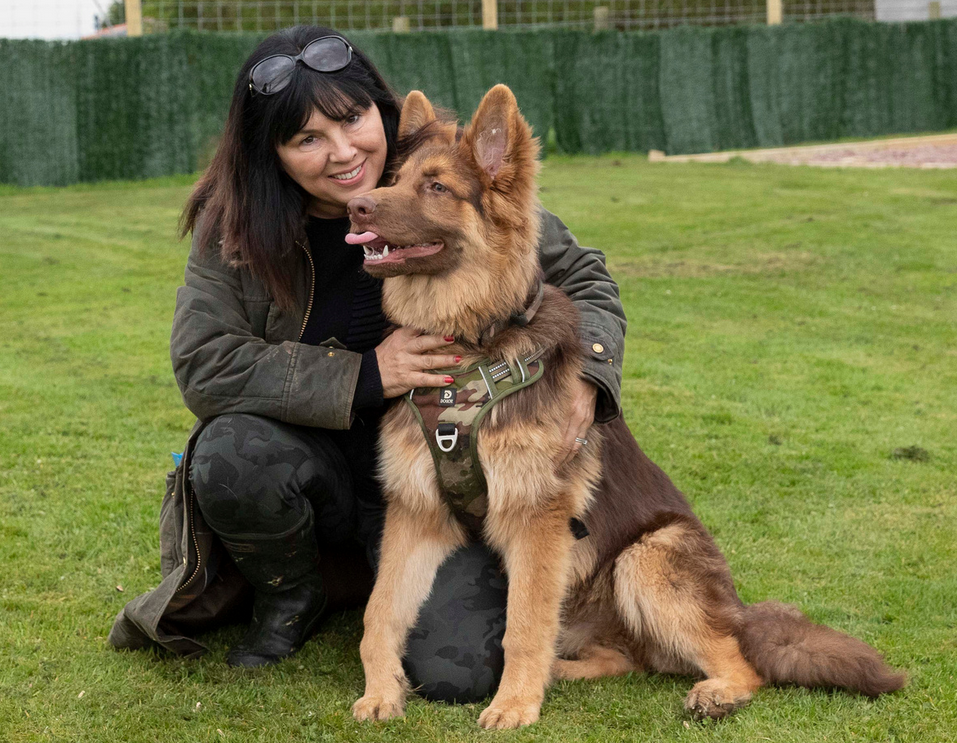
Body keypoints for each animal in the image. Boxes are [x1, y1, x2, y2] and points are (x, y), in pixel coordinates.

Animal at [344, 84, 904, 728]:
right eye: (394, 179)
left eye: (435, 186)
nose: (357, 207)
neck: (473, 343)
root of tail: (738, 608)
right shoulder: (415, 513)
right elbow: (381, 610)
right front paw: (382, 691)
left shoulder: (538, 520)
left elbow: (523, 626)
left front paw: (513, 705)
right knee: (625, 658)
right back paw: (567, 672)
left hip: (645, 558)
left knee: (740, 661)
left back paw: (716, 692)